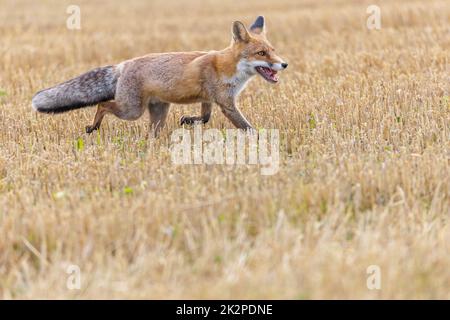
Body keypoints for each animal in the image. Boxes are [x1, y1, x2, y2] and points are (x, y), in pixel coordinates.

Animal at [33, 16, 290, 136]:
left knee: (150, 134)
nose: (284, 64)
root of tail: (123, 65)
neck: (227, 67)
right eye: (261, 53)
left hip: (158, 113)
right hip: (131, 111)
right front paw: (260, 139)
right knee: (103, 104)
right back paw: (93, 127)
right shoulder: (226, 103)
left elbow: (205, 118)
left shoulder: (209, 98)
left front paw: (188, 120)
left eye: (273, 50)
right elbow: (247, 127)